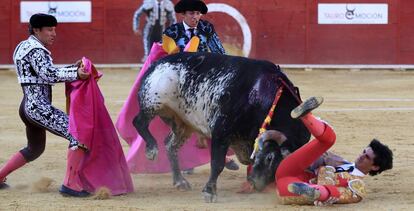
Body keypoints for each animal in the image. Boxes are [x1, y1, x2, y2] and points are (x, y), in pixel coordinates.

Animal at [133, 52, 310, 202]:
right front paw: (209, 192)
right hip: (153, 102)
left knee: (170, 145)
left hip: (182, 123)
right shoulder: (221, 132)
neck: (263, 95)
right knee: (139, 122)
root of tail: (157, 63)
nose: (257, 184)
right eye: (270, 158)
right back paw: (151, 150)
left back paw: (180, 181)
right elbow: (217, 163)